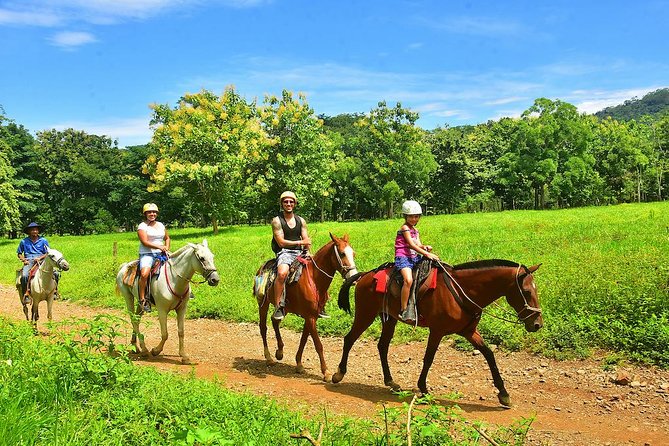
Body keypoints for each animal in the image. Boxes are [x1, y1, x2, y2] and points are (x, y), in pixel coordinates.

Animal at [254, 232, 358, 382]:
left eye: (353, 254)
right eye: (342, 253)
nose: (354, 278)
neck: (314, 279)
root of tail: (261, 268)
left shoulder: (311, 316)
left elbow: (303, 340)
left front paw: (299, 364)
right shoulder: (310, 317)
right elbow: (318, 345)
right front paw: (326, 372)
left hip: (284, 308)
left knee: (275, 320)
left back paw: (280, 351)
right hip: (263, 304)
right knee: (263, 327)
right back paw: (269, 358)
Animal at [332, 258, 540, 408]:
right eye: (527, 292)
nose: (537, 324)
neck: (462, 290)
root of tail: (365, 275)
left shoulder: (469, 331)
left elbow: (489, 355)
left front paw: (503, 394)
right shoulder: (437, 330)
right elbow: (429, 358)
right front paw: (423, 389)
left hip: (388, 318)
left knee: (382, 346)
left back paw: (391, 382)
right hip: (365, 314)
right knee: (349, 339)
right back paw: (338, 374)